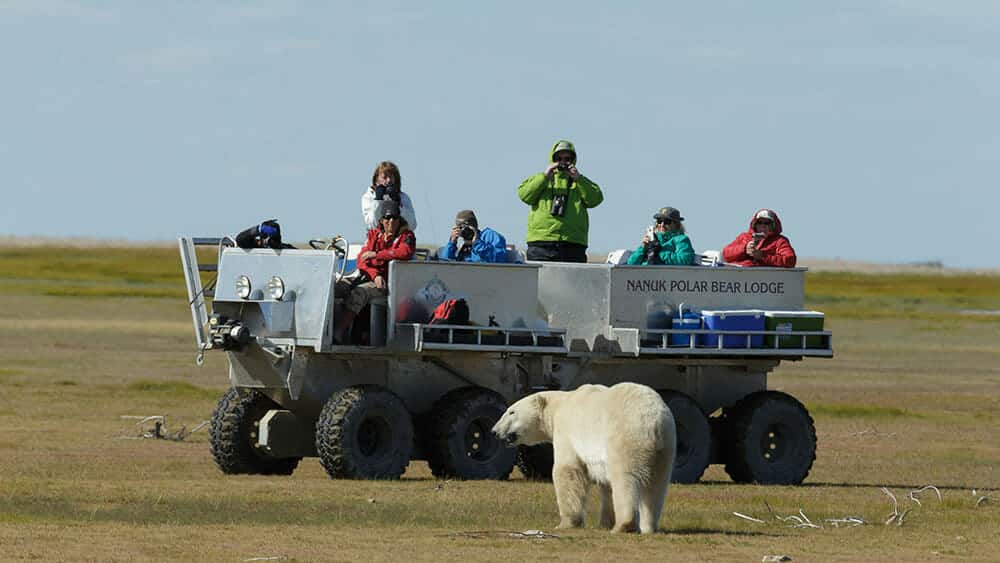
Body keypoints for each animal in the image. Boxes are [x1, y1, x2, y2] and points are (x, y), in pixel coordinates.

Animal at [492, 382, 676, 534]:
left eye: (511, 411)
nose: (494, 431)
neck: (559, 405)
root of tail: (652, 422)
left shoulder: (566, 430)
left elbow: (568, 471)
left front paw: (565, 523)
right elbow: (605, 483)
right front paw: (605, 523)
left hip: (625, 437)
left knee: (625, 479)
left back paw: (624, 525)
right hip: (665, 445)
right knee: (657, 484)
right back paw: (648, 527)